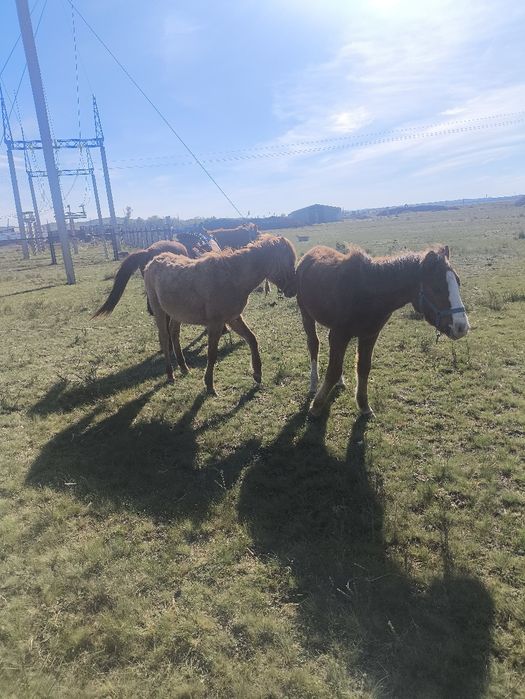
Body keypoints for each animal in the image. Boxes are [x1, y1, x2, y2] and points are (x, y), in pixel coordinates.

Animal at [144, 234, 296, 394]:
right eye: (288, 261)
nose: (293, 290)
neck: (233, 277)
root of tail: (152, 262)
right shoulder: (216, 323)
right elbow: (212, 354)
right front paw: (210, 385)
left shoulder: (233, 318)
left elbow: (252, 339)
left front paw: (257, 374)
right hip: (159, 310)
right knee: (164, 337)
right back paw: (170, 374)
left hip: (177, 313)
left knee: (174, 333)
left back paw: (184, 367)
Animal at [296, 244, 470, 418]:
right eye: (437, 288)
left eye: (458, 282)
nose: (462, 327)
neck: (366, 293)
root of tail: (310, 254)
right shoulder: (339, 335)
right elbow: (333, 370)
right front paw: (316, 406)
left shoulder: (369, 335)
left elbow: (363, 367)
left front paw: (364, 405)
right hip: (307, 316)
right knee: (314, 344)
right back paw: (313, 383)